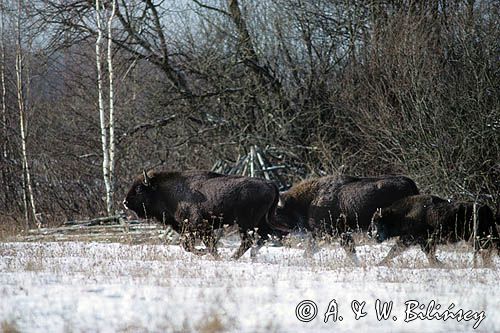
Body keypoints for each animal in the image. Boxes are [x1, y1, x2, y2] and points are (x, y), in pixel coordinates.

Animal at [123, 170, 286, 258]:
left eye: (139, 189)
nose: (125, 202)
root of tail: (271, 184)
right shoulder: (187, 229)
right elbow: (186, 245)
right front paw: (203, 252)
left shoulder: (200, 226)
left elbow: (207, 245)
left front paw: (207, 253)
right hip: (260, 222)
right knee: (264, 237)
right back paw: (251, 256)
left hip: (245, 224)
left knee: (249, 241)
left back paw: (232, 257)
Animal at [372, 193, 500, 266]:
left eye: (380, 223)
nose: (375, 236)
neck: (404, 214)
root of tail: (485, 208)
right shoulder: (419, 241)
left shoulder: (416, 240)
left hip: (479, 238)